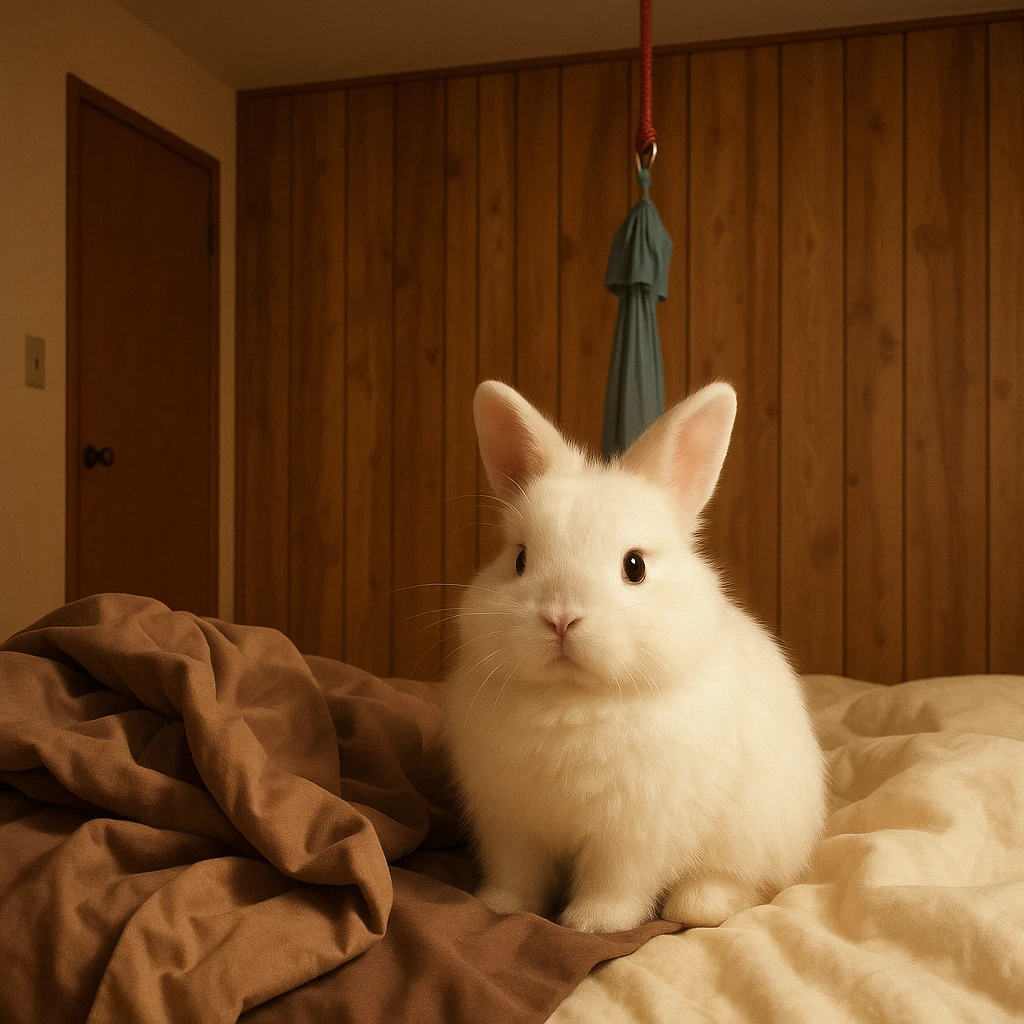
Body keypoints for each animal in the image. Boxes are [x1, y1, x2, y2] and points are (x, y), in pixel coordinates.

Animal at [443, 379, 827, 933]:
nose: (561, 618)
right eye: (519, 559)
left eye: (635, 566)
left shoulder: (634, 833)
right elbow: (518, 876)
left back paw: (698, 905)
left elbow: (616, 882)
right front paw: (498, 906)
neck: (572, 698)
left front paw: (592, 924)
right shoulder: (511, 825)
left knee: (740, 882)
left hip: (755, 835)